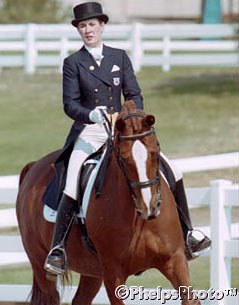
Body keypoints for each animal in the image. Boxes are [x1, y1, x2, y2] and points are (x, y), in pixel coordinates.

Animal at [16, 100, 200, 304]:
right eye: (125, 159)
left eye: (155, 153)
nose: (150, 208)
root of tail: (33, 167)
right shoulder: (113, 273)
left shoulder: (174, 260)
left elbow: (191, 298)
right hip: (41, 266)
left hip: (92, 271)